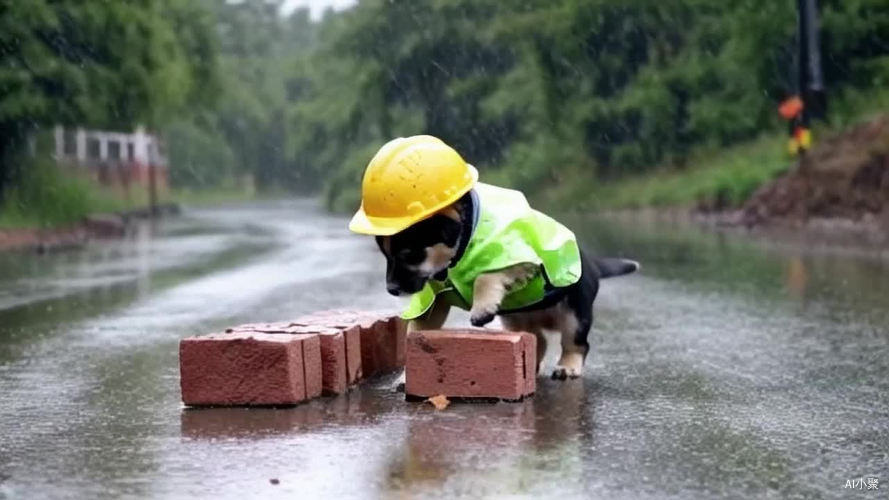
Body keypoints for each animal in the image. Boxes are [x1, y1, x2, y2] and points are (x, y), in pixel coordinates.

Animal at [374, 188, 640, 378]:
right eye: (386, 256)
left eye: (409, 255)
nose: (391, 289)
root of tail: (593, 264)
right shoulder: (432, 300)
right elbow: (417, 329)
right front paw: (407, 375)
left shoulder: (519, 259)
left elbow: (486, 276)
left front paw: (481, 307)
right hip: (515, 318)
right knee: (539, 339)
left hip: (575, 313)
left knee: (577, 343)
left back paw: (568, 366)